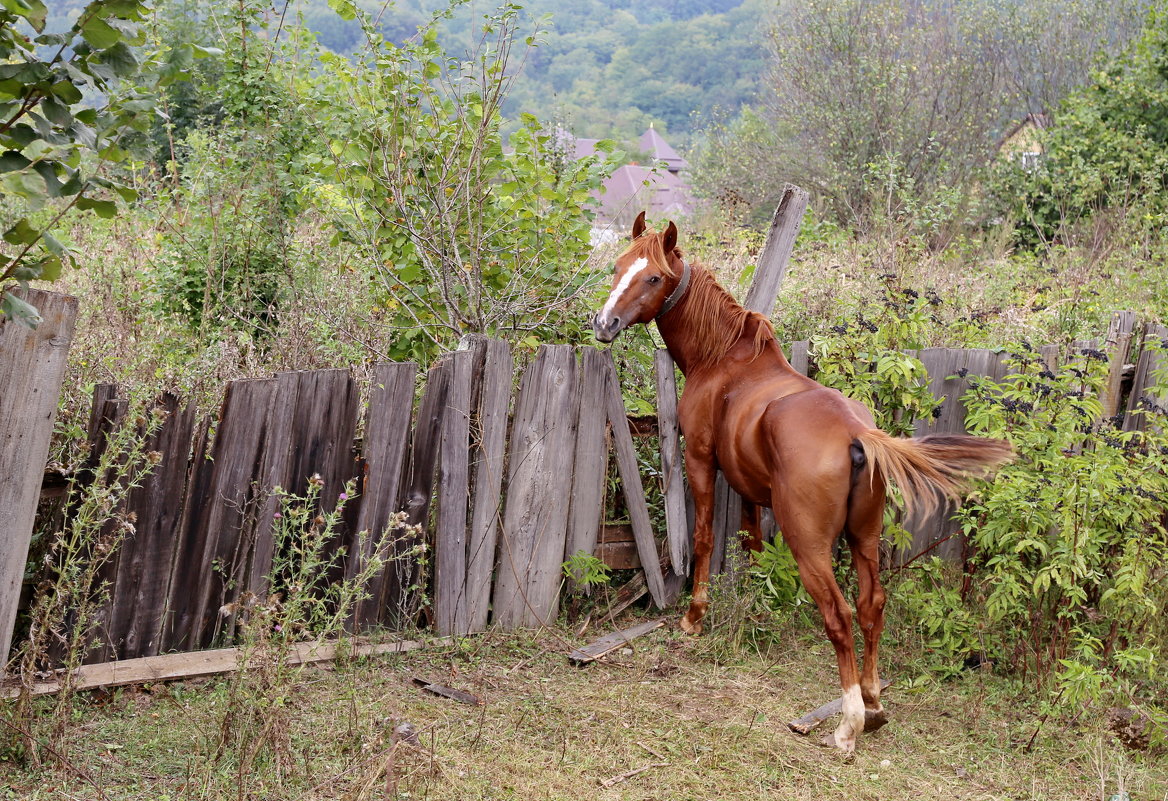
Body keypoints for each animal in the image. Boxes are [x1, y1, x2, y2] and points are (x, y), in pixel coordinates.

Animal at [593, 213, 1013, 751]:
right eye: (618, 266)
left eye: (651, 277)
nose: (604, 324)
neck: (723, 360)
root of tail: (857, 432)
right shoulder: (749, 488)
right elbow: (751, 544)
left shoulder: (701, 462)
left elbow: (705, 537)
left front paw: (695, 616)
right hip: (863, 539)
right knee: (871, 604)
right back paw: (873, 702)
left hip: (810, 545)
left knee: (839, 613)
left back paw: (849, 721)